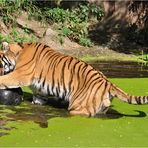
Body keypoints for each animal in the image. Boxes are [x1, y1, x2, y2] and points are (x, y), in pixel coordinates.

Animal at [0, 41, 147, 117]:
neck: (19, 52)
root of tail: (107, 82)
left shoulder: (20, 74)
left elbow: (5, 80)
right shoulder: (40, 94)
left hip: (78, 107)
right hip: (100, 109)